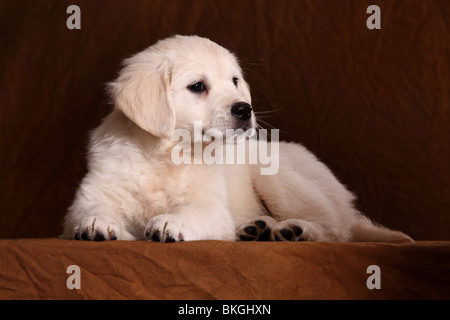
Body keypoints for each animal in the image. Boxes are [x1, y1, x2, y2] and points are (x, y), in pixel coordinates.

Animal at [61, 35, 414, 244]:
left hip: (277, 174)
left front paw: (168, 222)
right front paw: (98, 223)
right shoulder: (90, 195)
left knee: (335, 231)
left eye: (234, 81)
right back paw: (255, 229)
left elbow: (191, 214)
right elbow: (90, 210)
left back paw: (294, 230)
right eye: (198, 86)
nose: (246, 109)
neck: (167, 153)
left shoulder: (211, 206)